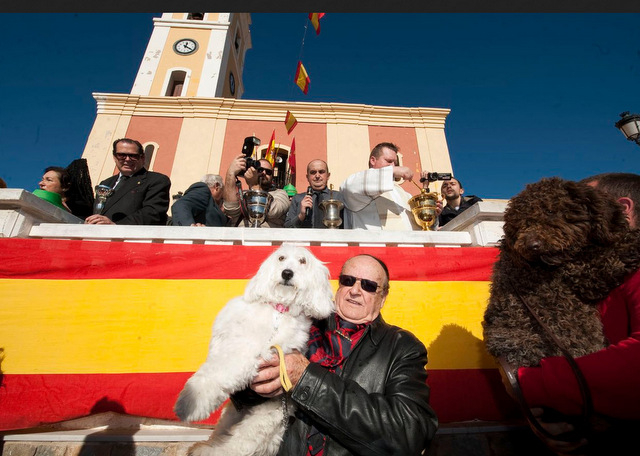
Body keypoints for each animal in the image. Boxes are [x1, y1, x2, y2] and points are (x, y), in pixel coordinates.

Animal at [175, 244, 336, 454]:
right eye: (281, 258)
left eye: (303, 261)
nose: (287, 273)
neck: (278, 311)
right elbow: (214, 360)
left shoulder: (251, 353)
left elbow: (217, 373)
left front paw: (188, 403)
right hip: (232, 417)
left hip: (260, 422)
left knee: (235, 446)